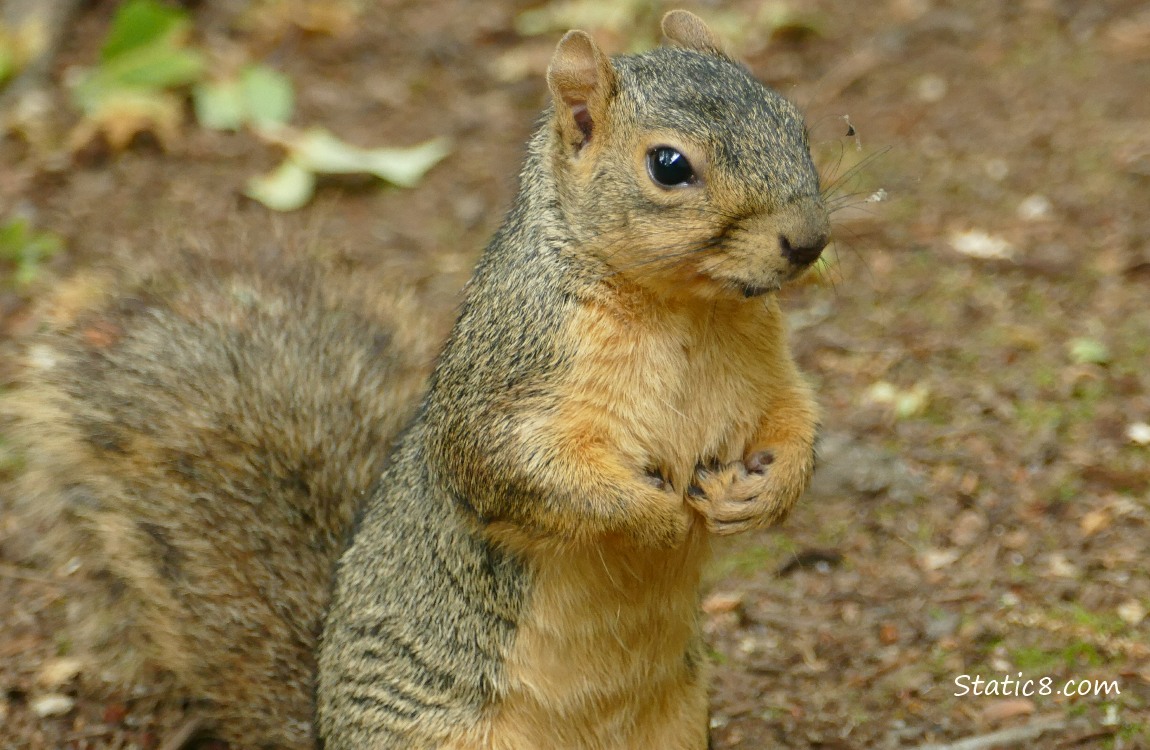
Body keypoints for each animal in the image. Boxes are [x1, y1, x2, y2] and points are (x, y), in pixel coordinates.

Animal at [4, 10, 828, 750]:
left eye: (794, 119)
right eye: (668, 165)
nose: (809, 241)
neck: (688, 312)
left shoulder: (767, 375)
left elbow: (794, 424)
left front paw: (766, 494)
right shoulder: (508, 376)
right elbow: (520, 470)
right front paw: (653, 518)